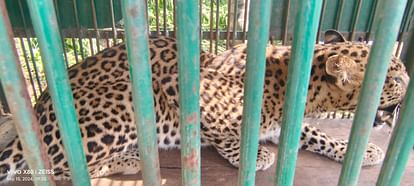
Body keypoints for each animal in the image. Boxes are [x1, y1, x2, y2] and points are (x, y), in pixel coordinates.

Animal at [0, 30, 410, 183]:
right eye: (394, 75)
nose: (409, 80)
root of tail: (37, 109)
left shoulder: (288, 121)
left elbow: (315, 135)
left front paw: (361, 150)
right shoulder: (184, 87)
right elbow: (225, 135)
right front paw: (256, 155)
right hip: (129, 98)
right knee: (58, 168)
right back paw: (131, 159)